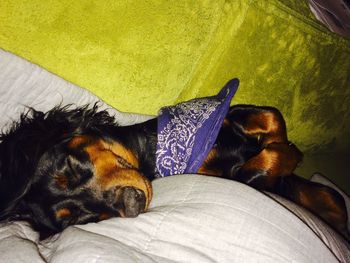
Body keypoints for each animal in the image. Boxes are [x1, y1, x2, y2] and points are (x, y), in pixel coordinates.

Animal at [0, 82, 348, 241]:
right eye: (80, 219)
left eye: (72, 169)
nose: (131, 205)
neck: (153, 152)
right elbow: (258, 166)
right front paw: (272, 164)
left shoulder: (231, 114)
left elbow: (271, 116)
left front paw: (288, 152)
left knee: (332, 197)